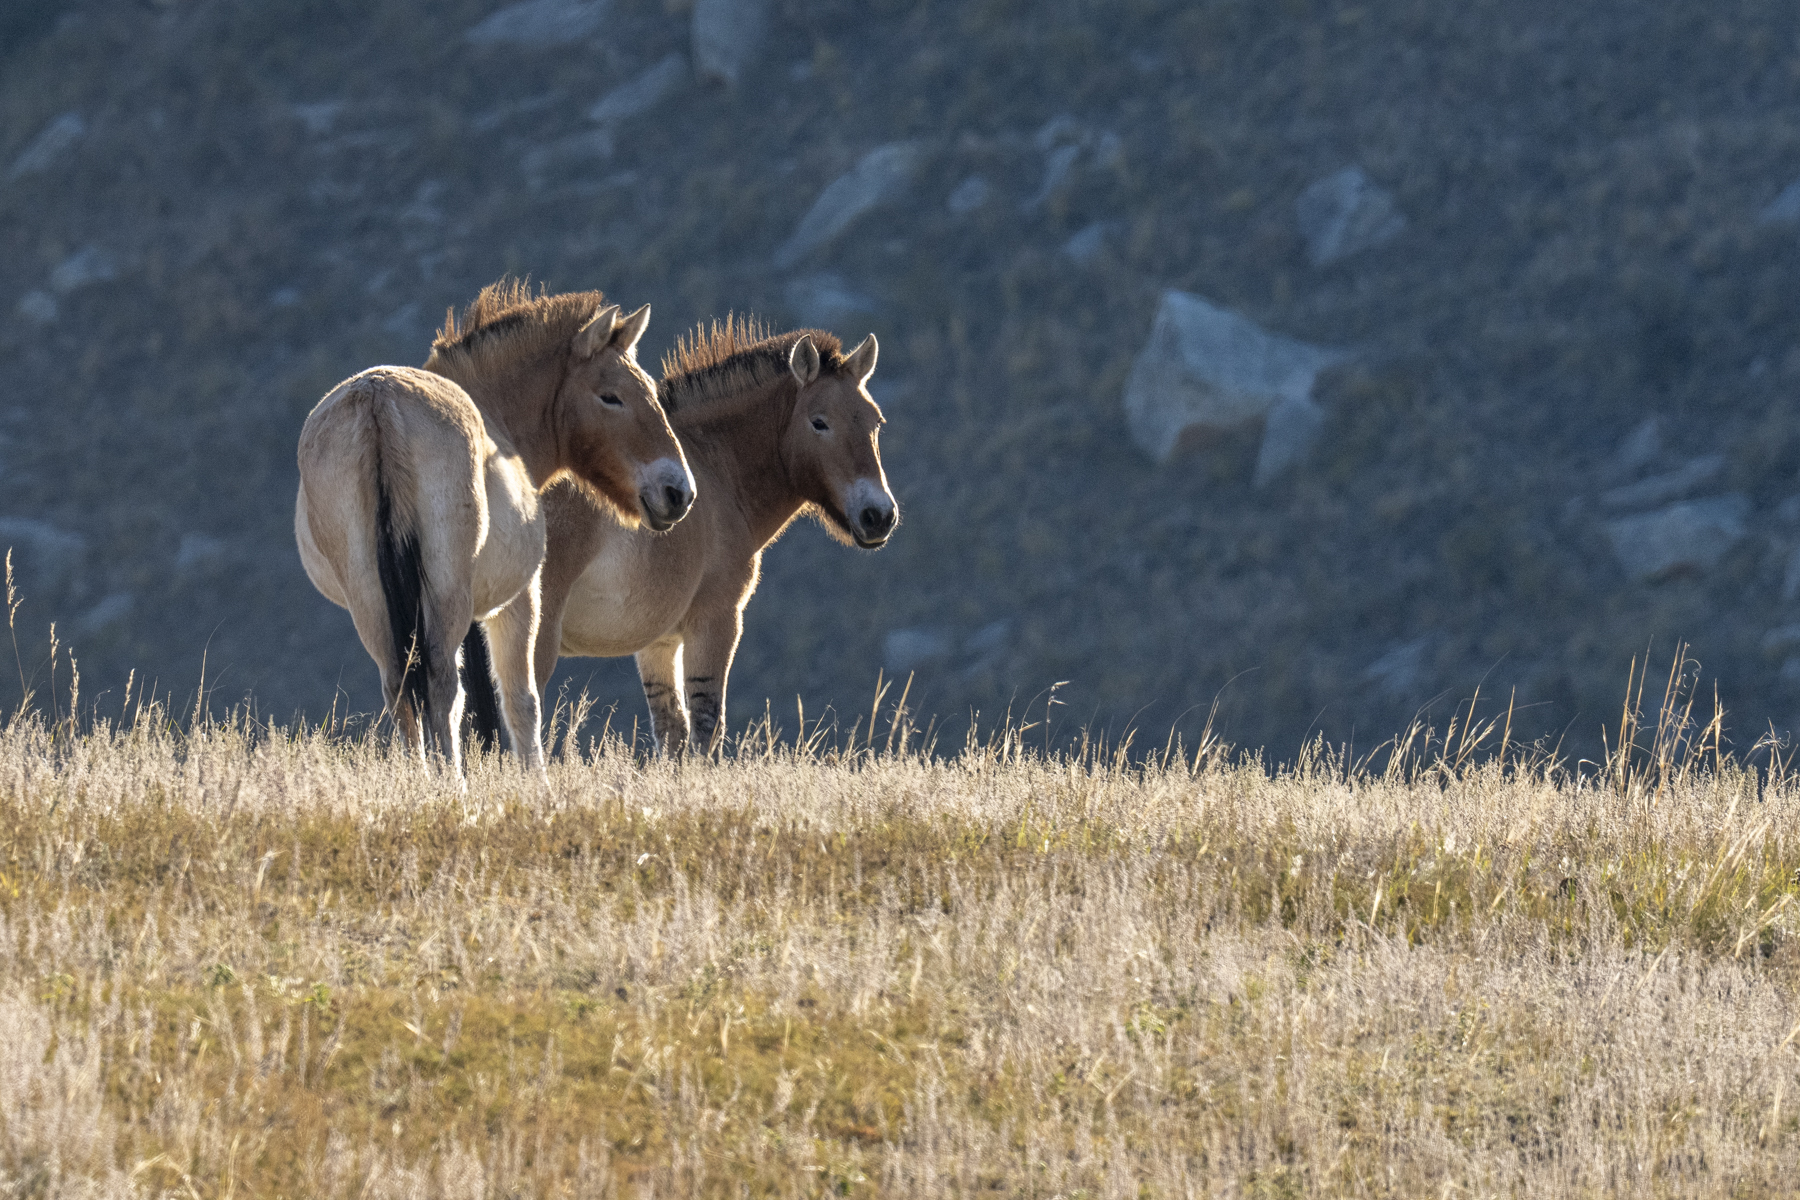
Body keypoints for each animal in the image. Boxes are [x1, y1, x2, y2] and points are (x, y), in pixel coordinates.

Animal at [295, 282, 694, 775]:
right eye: (610, 396)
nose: (678, 491)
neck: (498, 415)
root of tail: (378, 402)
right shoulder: (518, 602)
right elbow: (521, 703)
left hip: (369, 599)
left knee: (401, 690)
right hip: (444, 594)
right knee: (443, 689)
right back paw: (452, 783)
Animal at [461, 317, 896, 756]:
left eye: (876, 422)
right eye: (819, 422)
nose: (879, 516)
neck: (717, 470)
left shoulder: (658, 643)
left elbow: (671, 730)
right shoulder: (717, 621)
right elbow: (705, 723)